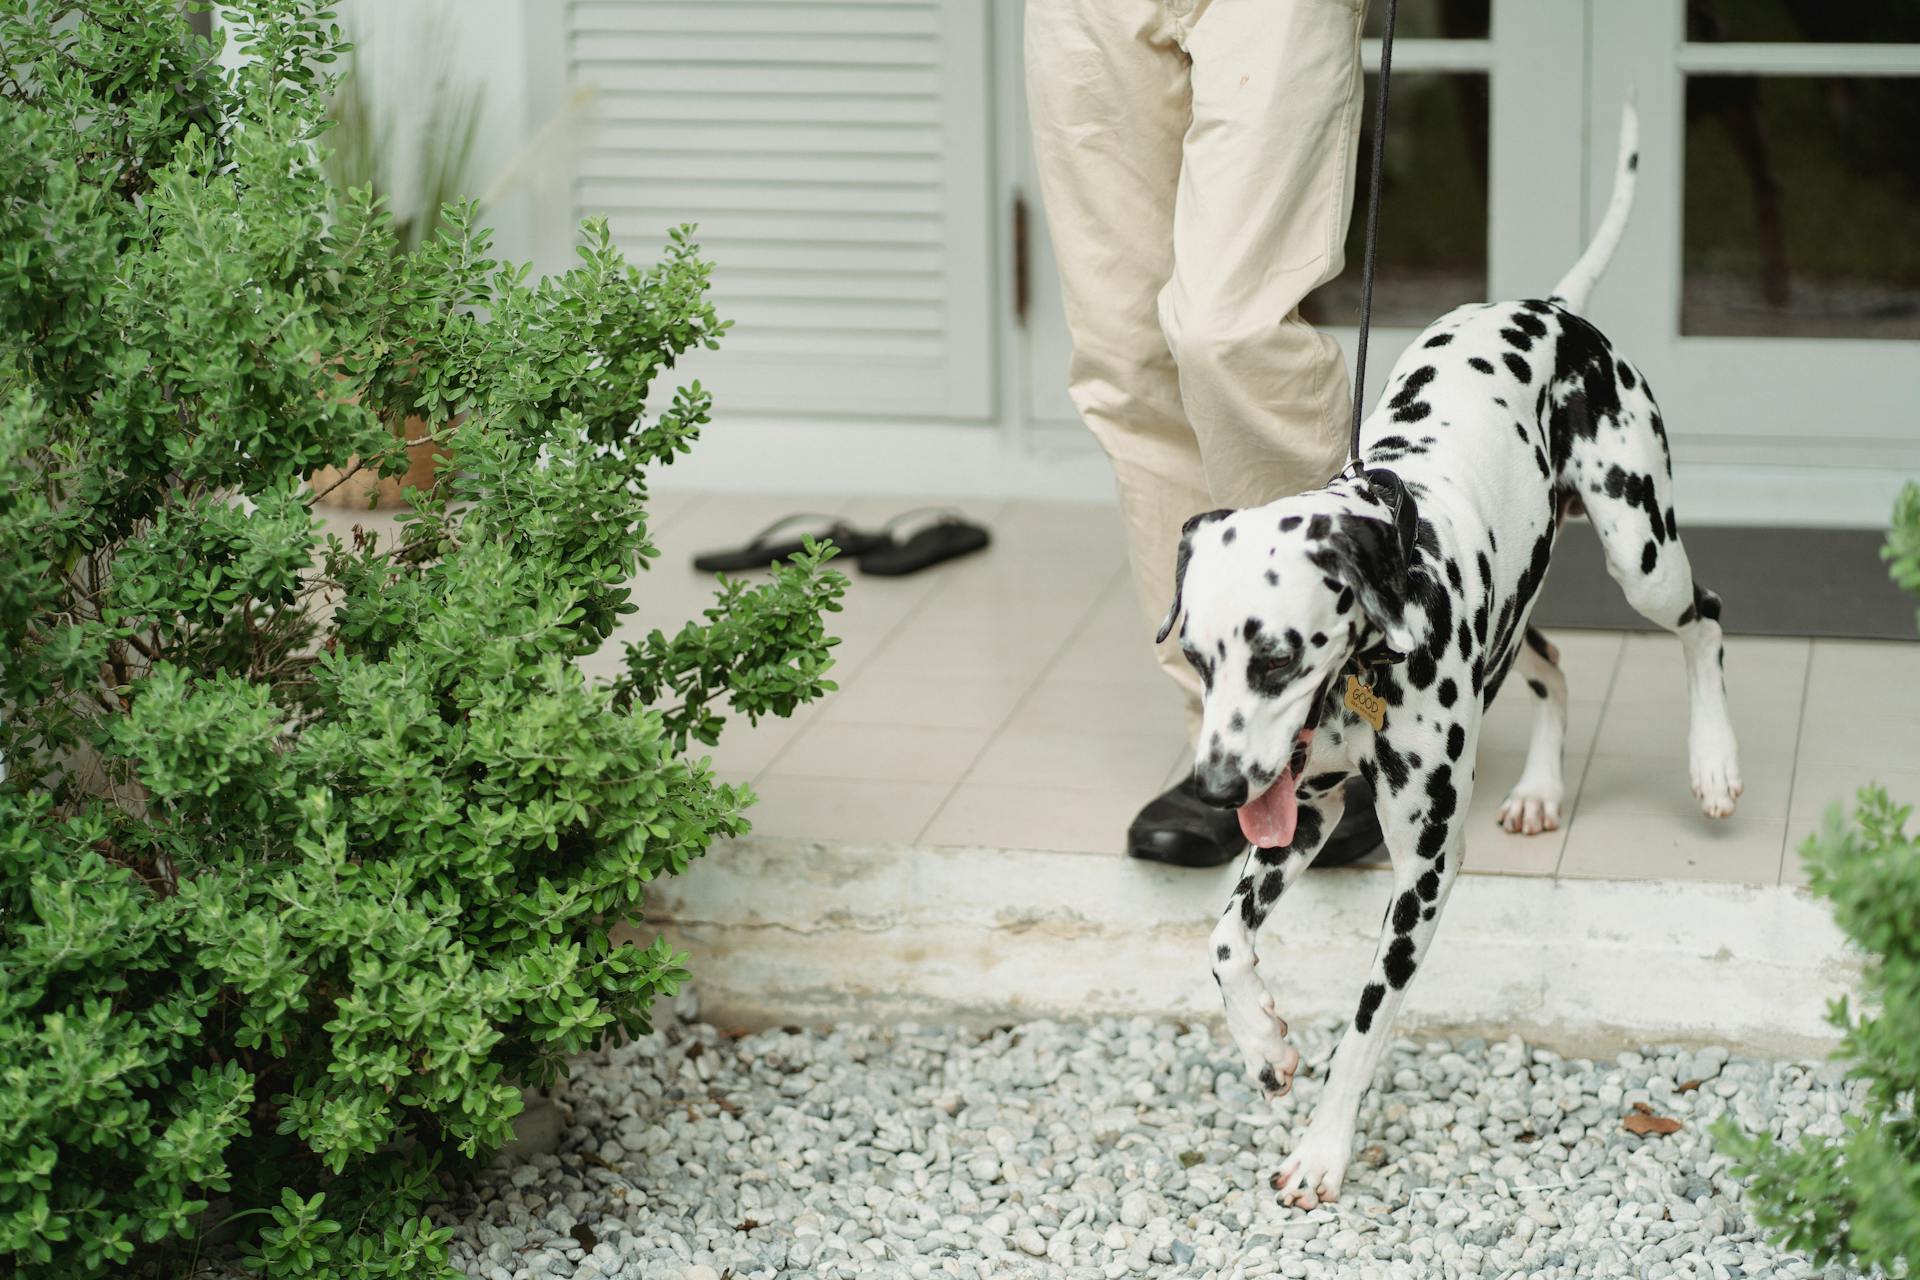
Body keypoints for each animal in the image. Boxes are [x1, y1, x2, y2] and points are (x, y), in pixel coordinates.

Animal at [1152, 102, 1743, 1212]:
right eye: (1202, 661)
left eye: (1277, 659)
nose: (1211, 787)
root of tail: (1552, 308)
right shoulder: (1300, 815)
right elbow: (1221, 939)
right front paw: (1264, 1047)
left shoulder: (1422, 874)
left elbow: (1364, 1023)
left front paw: (1323, 1148)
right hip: (1517, 617)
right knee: (1555, 662)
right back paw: (1542, 790)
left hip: (1641, 548)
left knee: (1706, 619)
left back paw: (1715, 762)